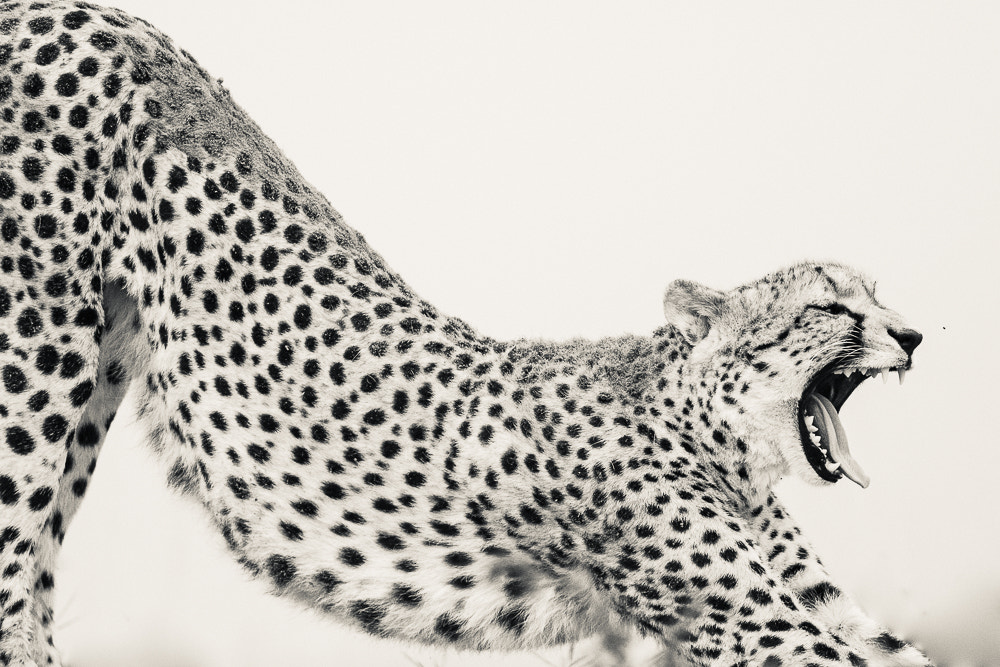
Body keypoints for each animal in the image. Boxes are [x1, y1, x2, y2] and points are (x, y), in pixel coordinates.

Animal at [0, 2, 934, 666]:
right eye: (831, 307)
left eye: (878, 294)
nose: (915, 335)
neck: (710, 429)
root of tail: (71, 9)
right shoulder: (751, 621)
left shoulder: (817, 605)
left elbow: (898, 647)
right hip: (37, 364)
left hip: (96, 375)